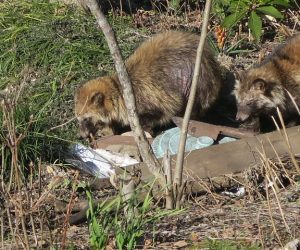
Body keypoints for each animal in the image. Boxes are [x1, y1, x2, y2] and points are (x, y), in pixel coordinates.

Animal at [75, 31, 223, 139]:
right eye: (78, 119)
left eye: (86, 119)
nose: (81, 136)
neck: (118, 88)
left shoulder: (150, 94)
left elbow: (166, 110)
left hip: (196, 81)